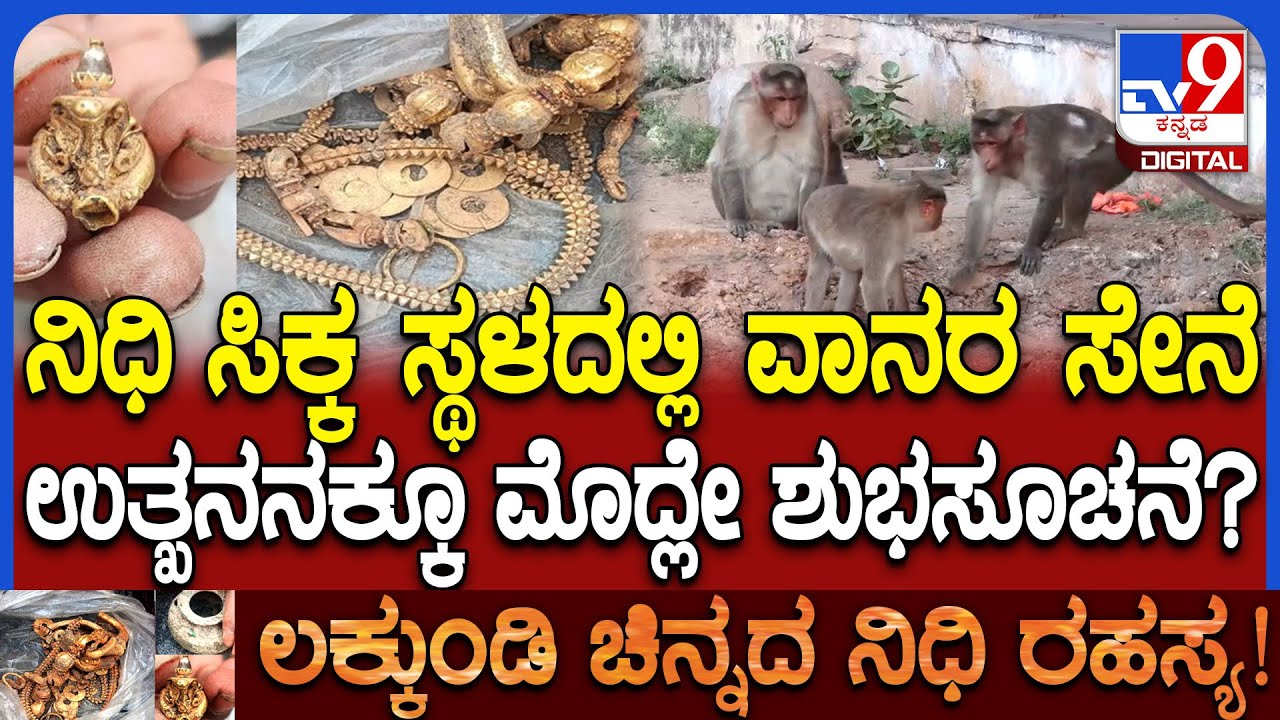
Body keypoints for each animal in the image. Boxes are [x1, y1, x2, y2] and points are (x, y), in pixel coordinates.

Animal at [708, 62, 850, 239]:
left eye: (794, 98)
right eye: (780, 99)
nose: (789, 115)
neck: (771, 119)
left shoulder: (809, 109)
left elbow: (810, 167)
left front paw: (804, 227)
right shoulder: (742, 108)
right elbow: (734, 164)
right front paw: (737, 219)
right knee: (717, 164)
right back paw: (758, 223)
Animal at [802, 179, 948, 313]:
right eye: (940, 210)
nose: (940, 221)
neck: (902, 212)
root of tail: (815, 194)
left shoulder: (898, 238)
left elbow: (894, 272)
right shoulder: (881, 236)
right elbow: (872, 285)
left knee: (851, 272)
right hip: (810, 224)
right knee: (819, 270)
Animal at [951, 103, 1266, 289]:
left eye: (993, 142)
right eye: (980, 143)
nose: (987, 157)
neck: (1013, 151)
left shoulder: (1038, 148)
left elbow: (1050, 193)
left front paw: (1030, 246)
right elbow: (981, 203)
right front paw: (966, 264)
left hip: (1115, 159)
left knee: (1077, 170)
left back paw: (1070, 230)